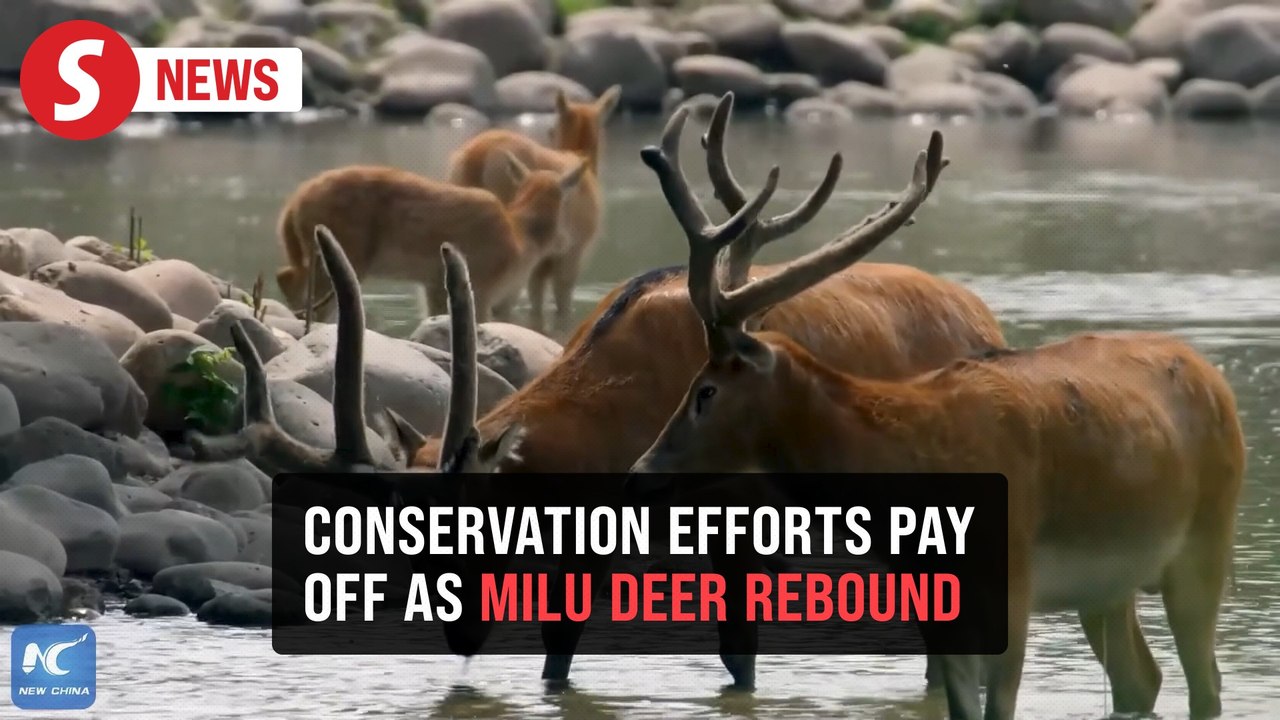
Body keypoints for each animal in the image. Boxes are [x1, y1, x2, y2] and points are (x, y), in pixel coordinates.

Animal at [274, 156, 587, 326]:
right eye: (566, 203)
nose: (565, 241)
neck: (522, 238)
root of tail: (292, 204)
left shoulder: (433, 286)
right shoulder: (483, 287)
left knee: (286, 276)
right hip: (345, 254)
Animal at [627, 126, 1246, 720]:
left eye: (705, 390)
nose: (640, 471)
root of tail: (1211, 377)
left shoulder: (1012, 581)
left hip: (1207, 539)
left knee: (1207, 683)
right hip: (1110, 583)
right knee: (1142, 680)